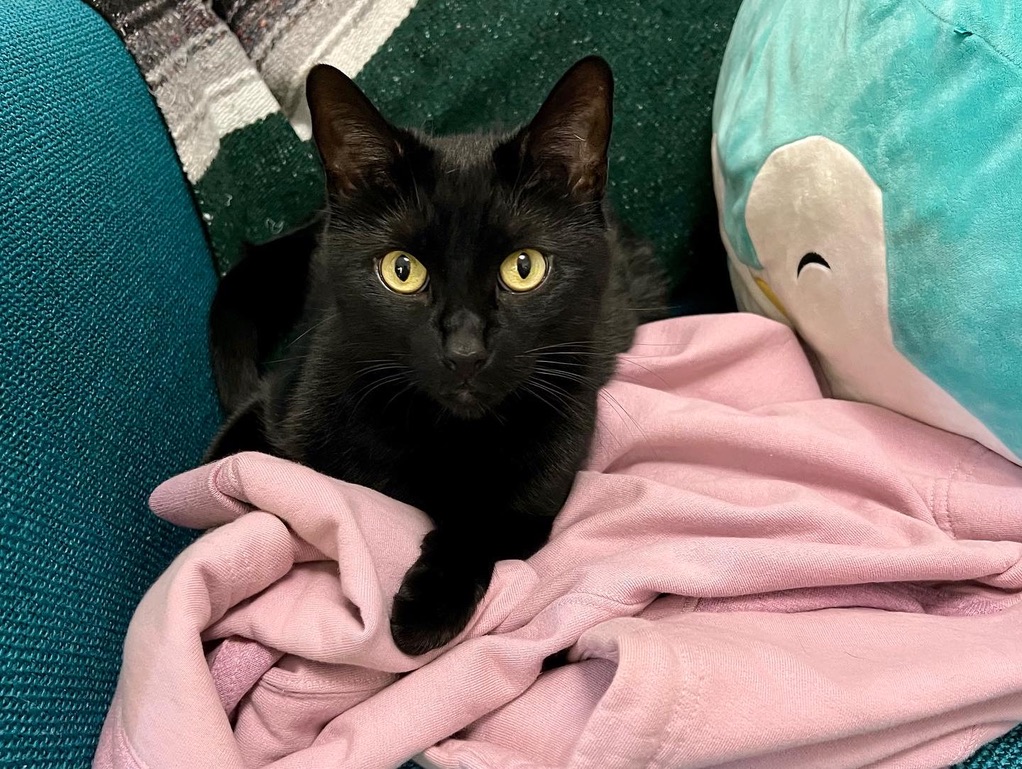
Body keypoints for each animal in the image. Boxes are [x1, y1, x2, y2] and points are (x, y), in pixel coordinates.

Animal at [205, 56, 667, 655]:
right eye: (402, 270)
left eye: (525, 267)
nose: (465, 350)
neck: (440, 433)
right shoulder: (279, 399)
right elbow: (219, 489)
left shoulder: (550, 468)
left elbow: (487, 524)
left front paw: (425, 608)